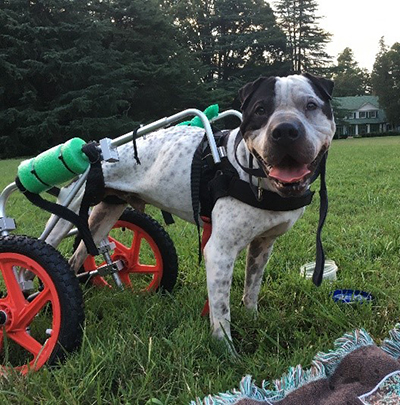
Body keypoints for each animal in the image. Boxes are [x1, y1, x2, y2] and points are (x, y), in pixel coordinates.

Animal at [46, 73, 334, 344]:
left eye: (311, 105)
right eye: (261, 110)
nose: (285, 130)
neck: (253, 175)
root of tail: (96, 150)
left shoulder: (263, 244)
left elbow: (252, 287)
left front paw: (252, 318)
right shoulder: (219, 252)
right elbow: (221, 311)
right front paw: (226, 350)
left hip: (103, 216)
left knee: (77, 256)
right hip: (65, 216)